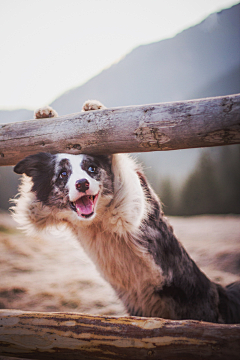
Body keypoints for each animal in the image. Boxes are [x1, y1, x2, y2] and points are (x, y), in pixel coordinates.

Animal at [12, 100, 240, 322]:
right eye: (63, 174)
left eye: (92, 168)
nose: (82, 184)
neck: (96, 220)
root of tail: (218, 291)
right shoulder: (38, 212)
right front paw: (44, 114)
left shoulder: (130, 207)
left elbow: (118, 161)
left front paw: (94, 107)